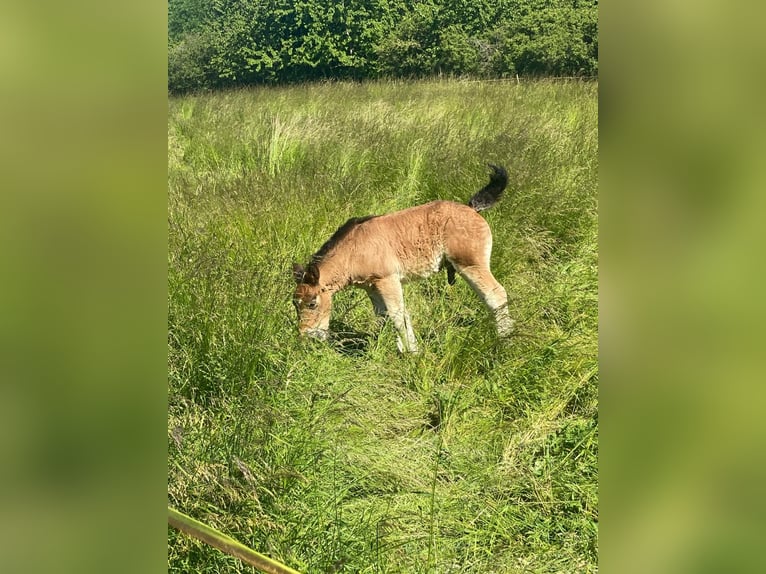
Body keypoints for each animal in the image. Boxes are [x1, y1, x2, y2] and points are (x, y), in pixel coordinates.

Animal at [294, 162, 516, 352]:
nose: (307, 336)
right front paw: (400, 350)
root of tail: (471, 209)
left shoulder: (387, 280)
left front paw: (412, 354)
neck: (353, 251)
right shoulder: (371, 287)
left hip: (470, 264)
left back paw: (505, 340)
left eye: (312, 303)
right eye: (295, 304)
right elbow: (385, 317)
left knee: (495, 295)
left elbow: (398, 316)